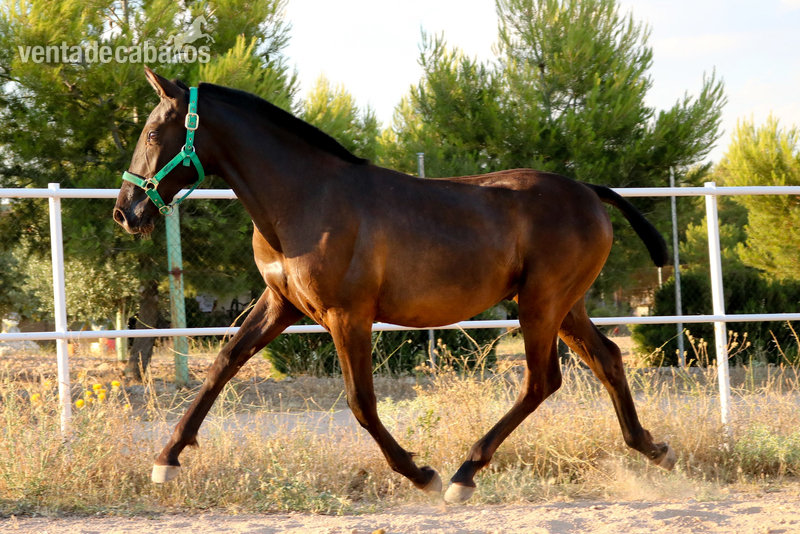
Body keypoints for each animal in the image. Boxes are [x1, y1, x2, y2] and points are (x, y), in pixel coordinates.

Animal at [113, 66, 676, 503]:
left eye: (151, 133)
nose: (126, 212)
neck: (306, 199)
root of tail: (589, 191)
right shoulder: (282, 303)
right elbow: (222, 365)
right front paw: (167, 458)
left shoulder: (347, 315)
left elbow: (361, 402)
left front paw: (421, 474)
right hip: (565, 304)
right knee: (608, 358)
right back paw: (654, 449)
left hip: (541, 302)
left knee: (542, 381)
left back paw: (463, 475)